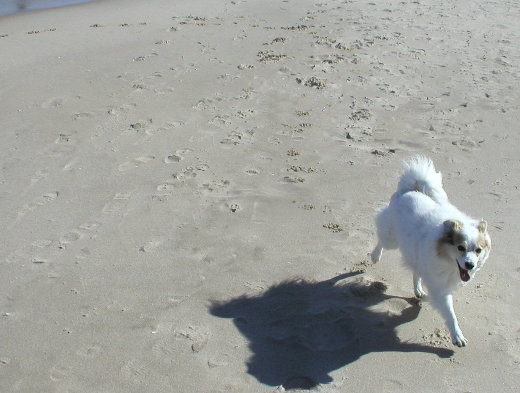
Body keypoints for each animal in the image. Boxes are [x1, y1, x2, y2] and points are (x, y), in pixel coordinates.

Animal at [372, 155, 490, 344]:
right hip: (392, 239)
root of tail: (410, 190)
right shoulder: (439, 285)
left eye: (478, 250)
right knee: (381, 240)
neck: (447, 261)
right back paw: (375, 256)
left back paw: (418, 291)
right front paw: (457, 335)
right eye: (460, 247)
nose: (470, 265)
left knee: (415, 273)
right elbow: (450, 313)